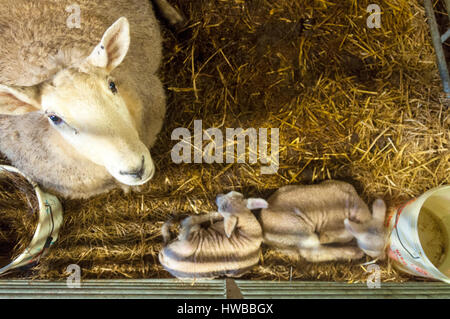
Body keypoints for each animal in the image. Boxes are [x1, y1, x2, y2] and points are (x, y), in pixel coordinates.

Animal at [258, 181, 388, 264]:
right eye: (371, 249)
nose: (383, 257)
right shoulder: (334, 226)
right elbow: (334, 236)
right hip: (295, 228)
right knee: (313, 253)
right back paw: (354, 252)